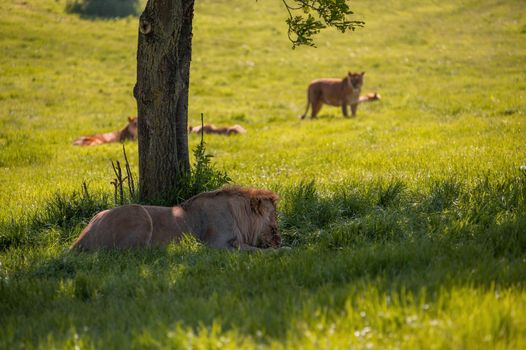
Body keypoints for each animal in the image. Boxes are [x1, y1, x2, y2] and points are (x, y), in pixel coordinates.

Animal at [73, 187, 284, 250]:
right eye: (273, 223)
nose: (279, 240)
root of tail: (81, 239)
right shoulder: (216, 245)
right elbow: (256, 250)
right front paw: (282, 251)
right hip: (139, 213)